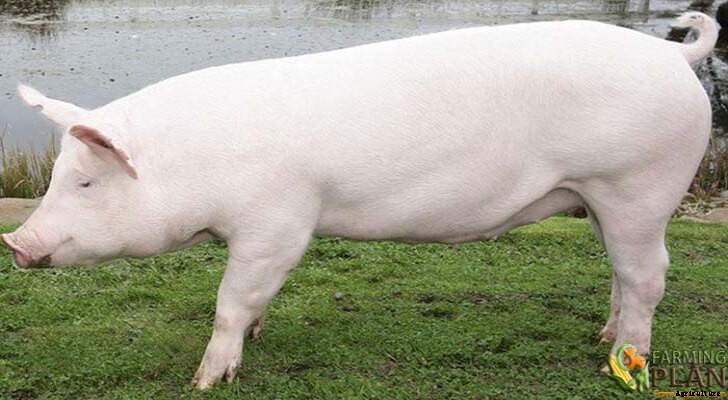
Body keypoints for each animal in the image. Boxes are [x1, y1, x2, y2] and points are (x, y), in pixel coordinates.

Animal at [1, 12, 717, 390]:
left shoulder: (277, 222)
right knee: (620, 271)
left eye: (87, 183)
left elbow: (233, 300)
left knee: (648, 274)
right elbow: (255, 301)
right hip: (597, 197)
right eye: (57, 175)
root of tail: (674, 58)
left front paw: (204, 381)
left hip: (638, 183)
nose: (16, 242)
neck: (197, 163)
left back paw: (620, 363)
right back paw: (604, 337)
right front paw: (256, 337)